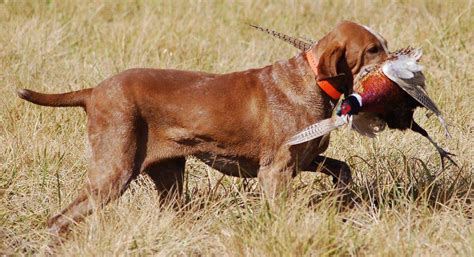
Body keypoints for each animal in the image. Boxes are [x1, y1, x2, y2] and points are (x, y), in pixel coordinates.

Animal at [18, 21, 388, 233]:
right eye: (373, 49)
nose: (398, 58)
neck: (311, 79)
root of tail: (94, 91)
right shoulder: (275, 172)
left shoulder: (305, 159)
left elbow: (343, 169)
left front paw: (340, 199)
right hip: (113, 174)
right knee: (58, 220)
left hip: (169, 179)